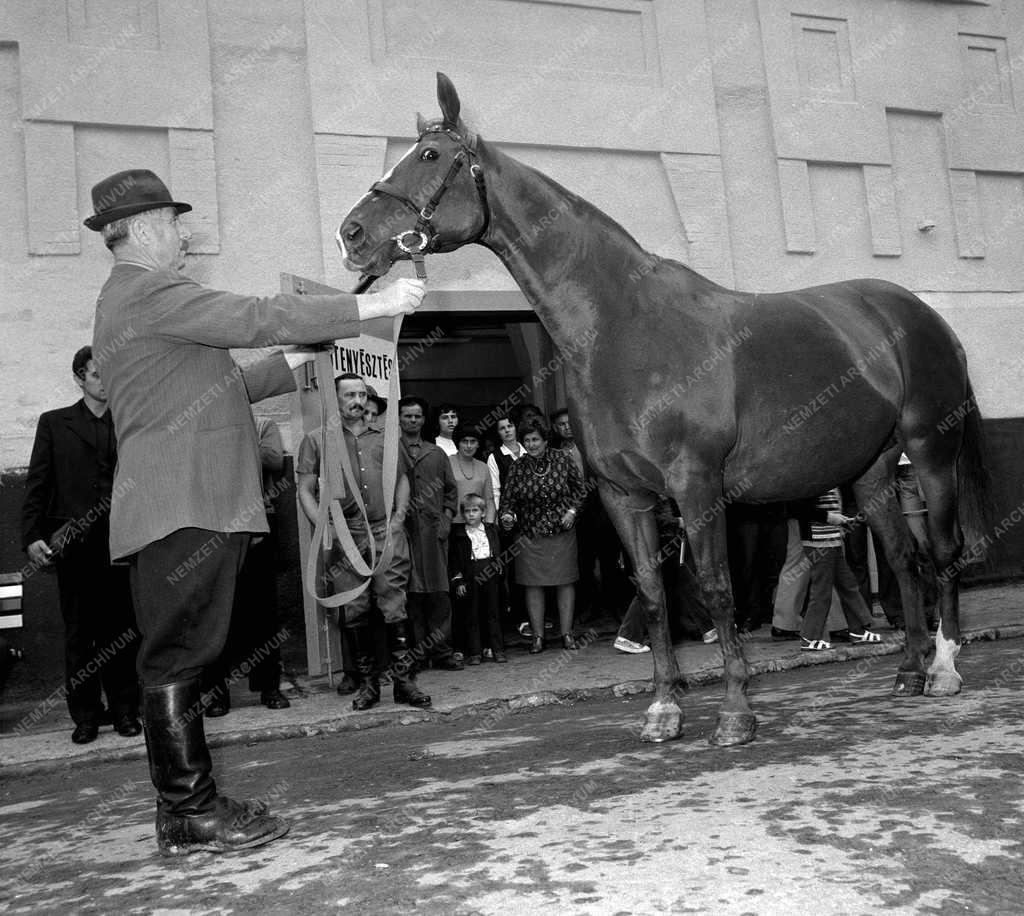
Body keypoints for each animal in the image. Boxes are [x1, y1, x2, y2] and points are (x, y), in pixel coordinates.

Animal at [335, 71, 991, 745]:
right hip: (873, 470)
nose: (352, 233)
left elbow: (717, 589)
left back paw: (943, 669)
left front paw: (734, 712)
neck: (621, 326)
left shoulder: (697, 487)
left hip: (930, 454)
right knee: (905, 560)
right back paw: (908, 672)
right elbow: (652, 594)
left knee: (942, 555)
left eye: (429, 156)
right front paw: (663, 708)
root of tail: (923, 315)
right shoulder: (623, 494)